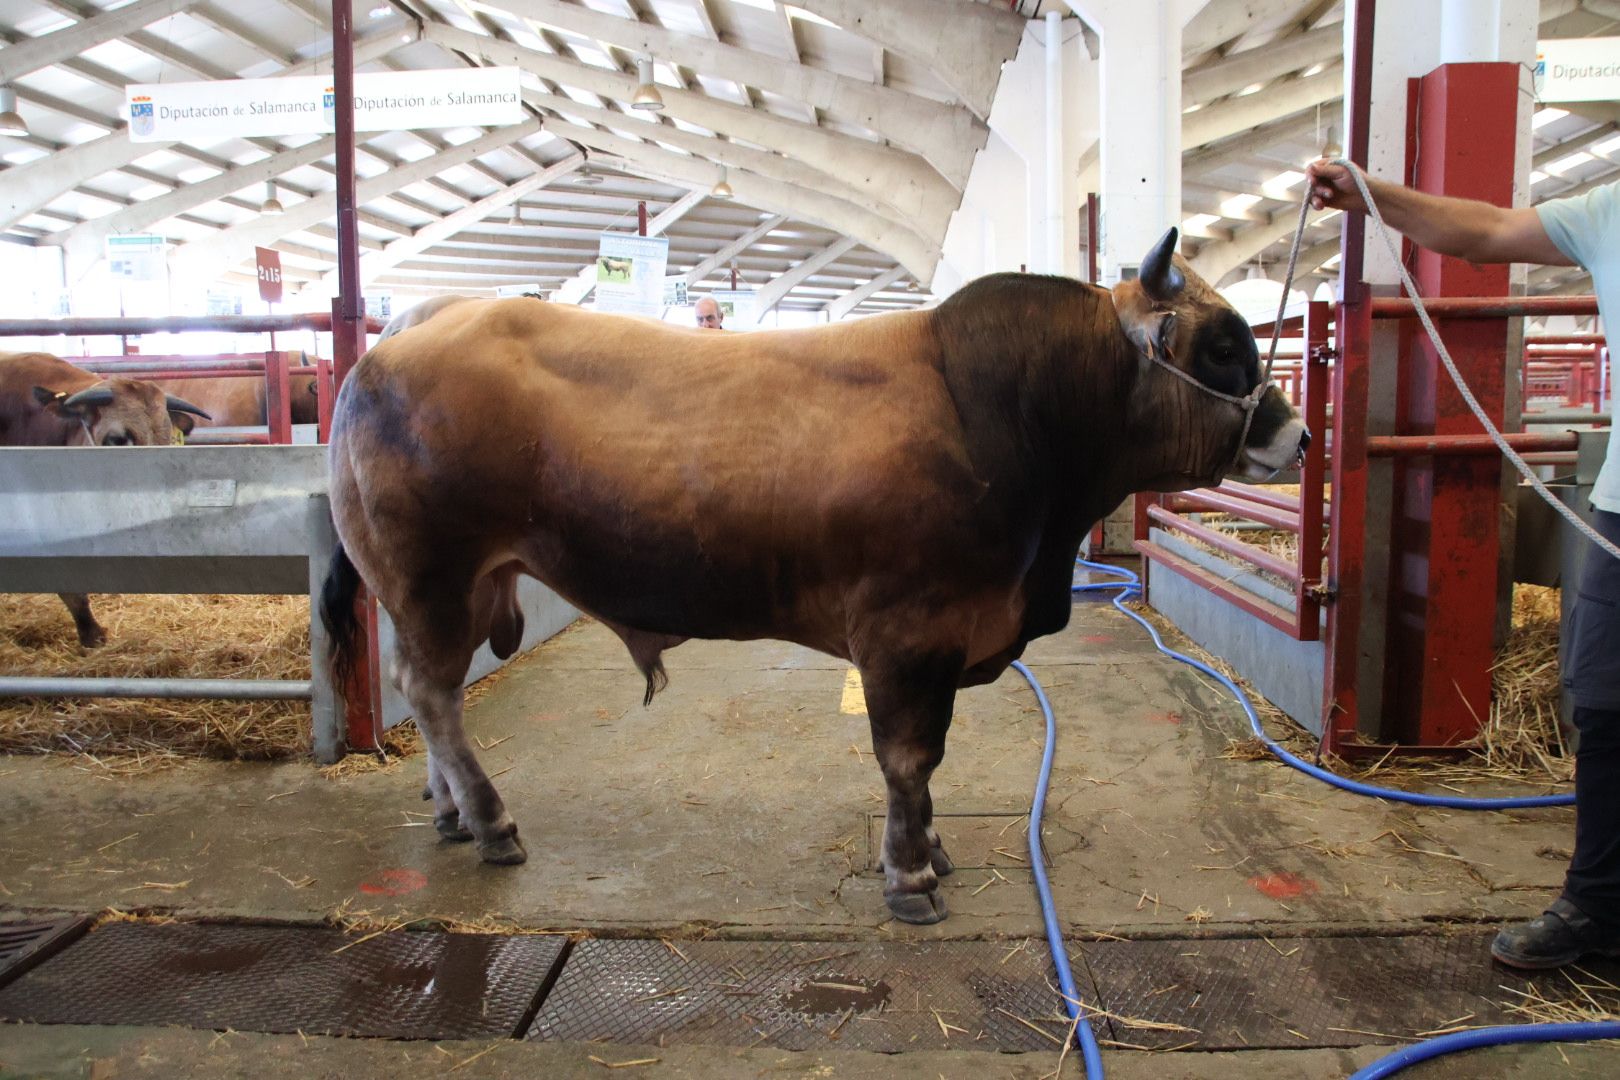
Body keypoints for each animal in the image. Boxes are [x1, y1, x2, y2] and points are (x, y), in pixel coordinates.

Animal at [322, 233, 1308, 926]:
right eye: (1224, 346)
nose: (1296, 438)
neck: (999, 411)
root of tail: (418, 325)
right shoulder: (909, 632)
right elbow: (909, 758)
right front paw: (911, 873)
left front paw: (933, 851)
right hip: (434, 580)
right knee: (435, 693)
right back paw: (492, 823)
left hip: (435, 592)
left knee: (431, 693)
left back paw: (453, 812)